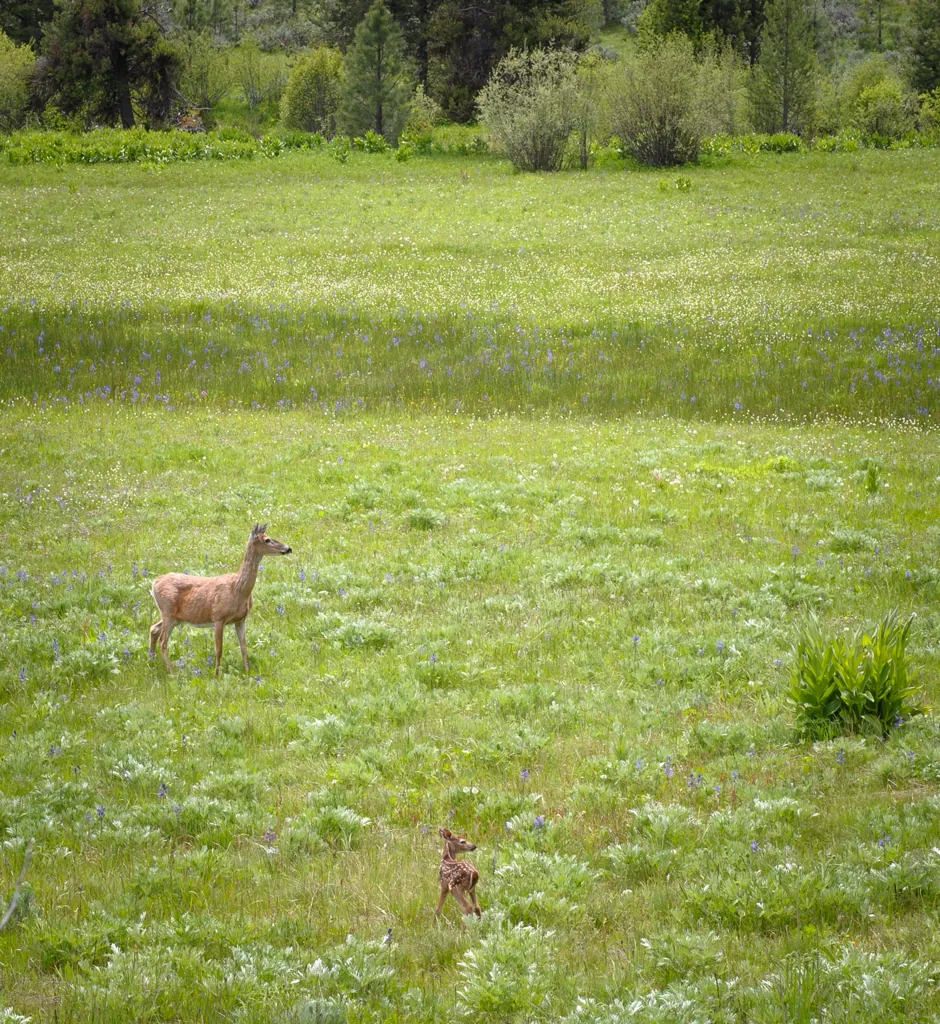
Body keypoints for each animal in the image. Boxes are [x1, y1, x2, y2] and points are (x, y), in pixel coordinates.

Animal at [149, 524, 291, 677]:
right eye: (267, 540)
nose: (289, 548)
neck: (238, 589)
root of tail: (155, 582)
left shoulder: (241, 620)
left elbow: (244, 647)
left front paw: (247, 672)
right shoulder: (218, 617)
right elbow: (219, 650)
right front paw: (216, 676)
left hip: (175, 617)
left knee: (154, 628)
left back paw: (152, 662)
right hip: (168, 612)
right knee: (163, 641)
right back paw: (172, 672)